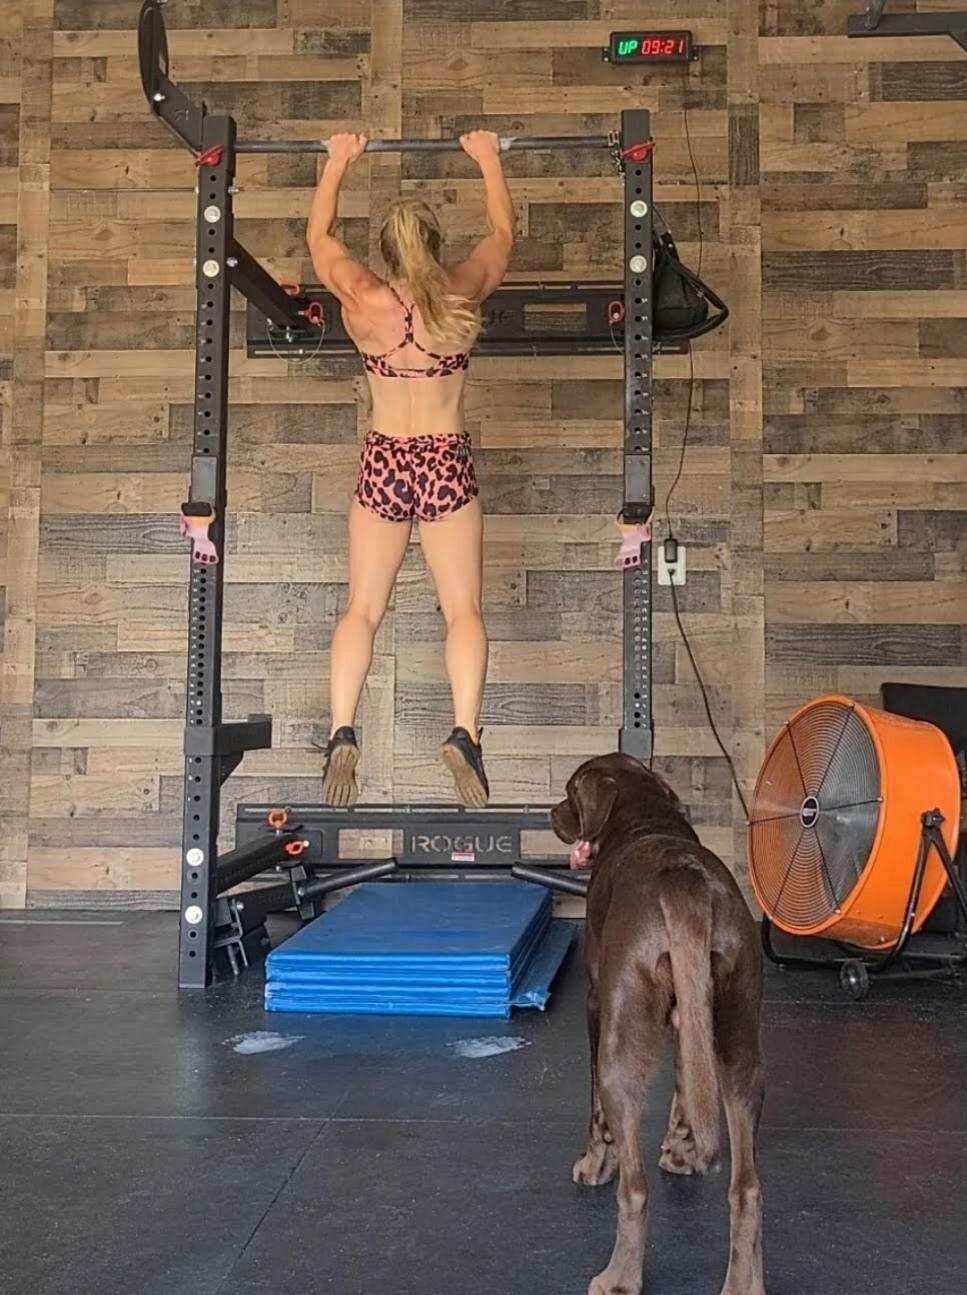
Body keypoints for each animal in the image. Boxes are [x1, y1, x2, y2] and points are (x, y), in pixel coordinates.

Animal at [556, 756, 766, 1295]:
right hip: (740, 1050)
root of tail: (682, 882)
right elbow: (686, 1088)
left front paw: (594, 1165)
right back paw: (743, 1285)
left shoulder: (596, 1006)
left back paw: (618, 1278)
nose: (551, 814)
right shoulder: (689, 1018)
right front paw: (683, 1150)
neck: (645, 817)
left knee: (635, 1189)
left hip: (620, 1057)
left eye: (569, 793)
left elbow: (595, 1112)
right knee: (746, 1189)